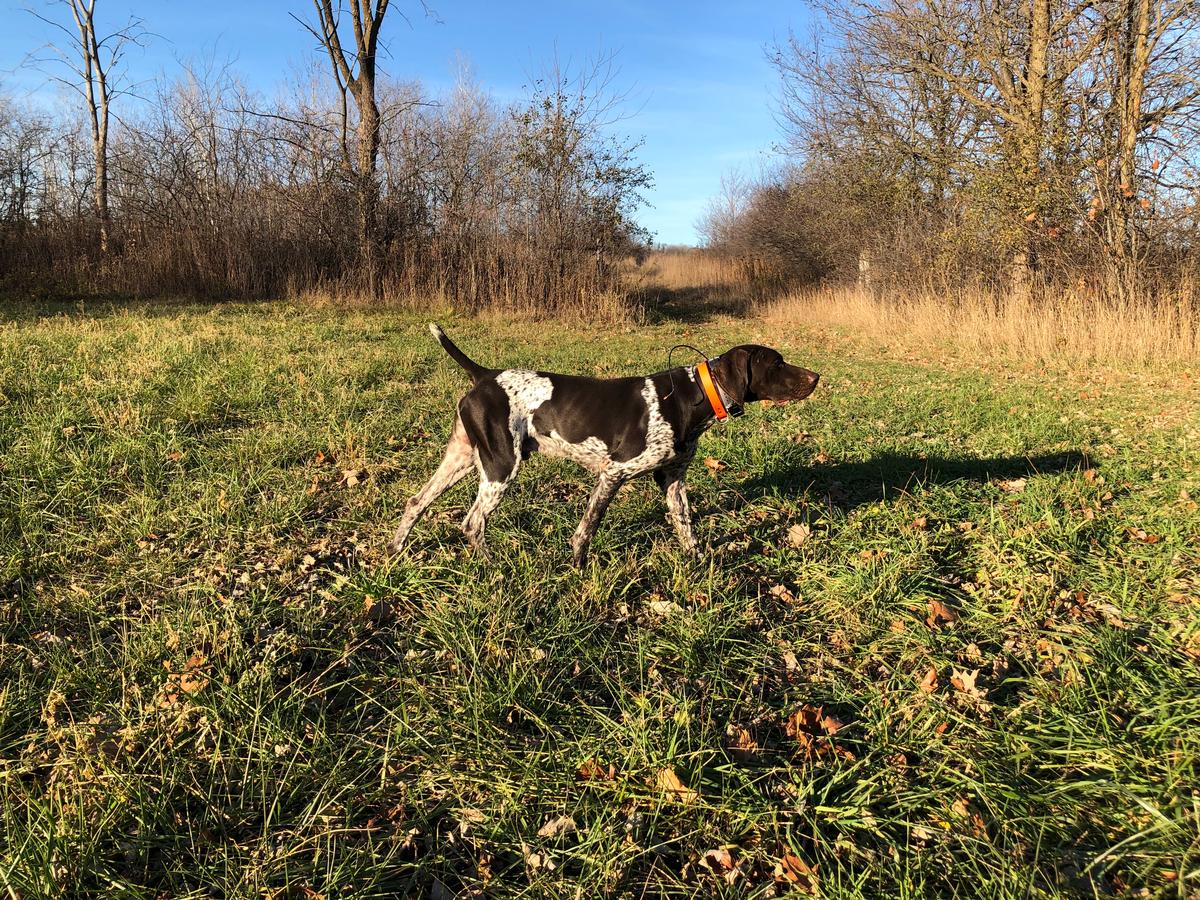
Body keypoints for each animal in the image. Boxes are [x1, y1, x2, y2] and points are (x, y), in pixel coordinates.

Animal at [388, 321, 820, 564]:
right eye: (777, 363)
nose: (817, 377)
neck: (690, 396)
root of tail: (485, 375)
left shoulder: (673, 481)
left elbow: (686, 527)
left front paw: (699, 564)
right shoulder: (614, 473)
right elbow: (587, 528)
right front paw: (578, 566)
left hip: (461, 458)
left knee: (415, 502)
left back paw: (394, 552)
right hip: (500, 467)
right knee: (473, 521)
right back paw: (493, 568)